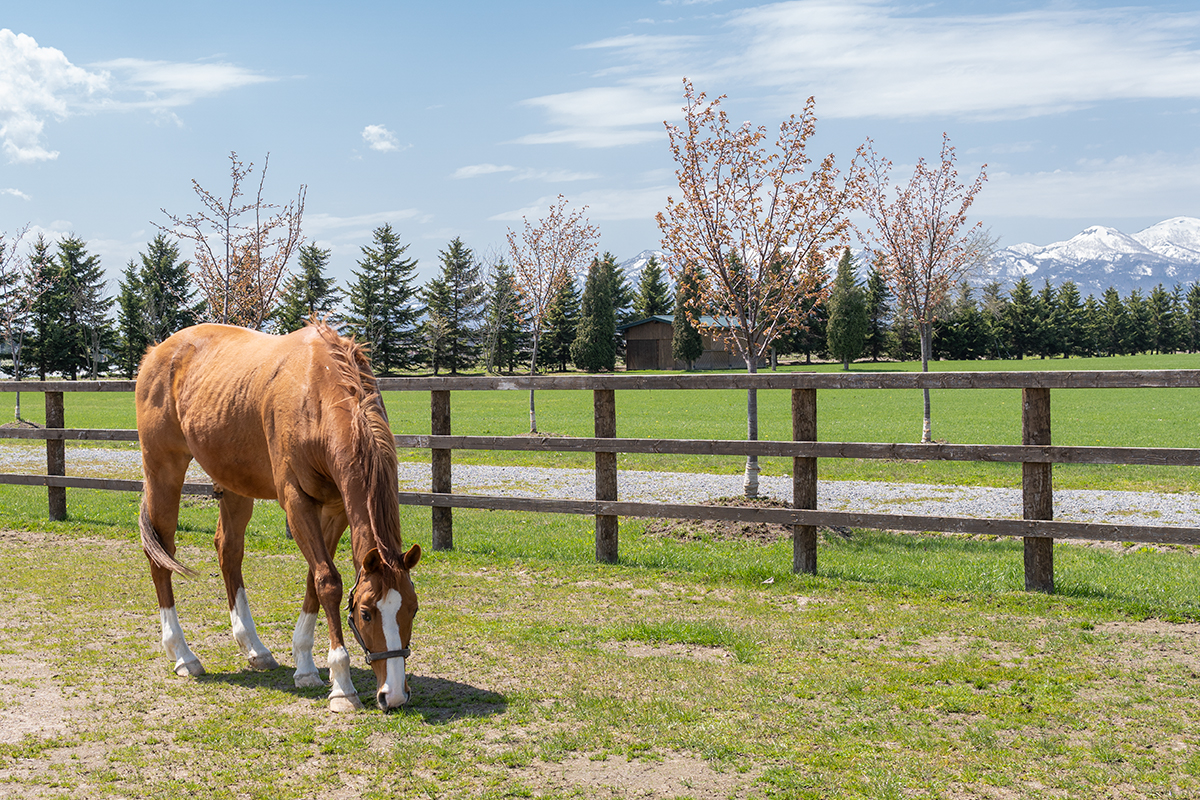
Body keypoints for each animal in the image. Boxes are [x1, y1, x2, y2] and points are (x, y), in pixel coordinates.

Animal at [132, 321, 417, 714]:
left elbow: (315, 580)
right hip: (164, 472)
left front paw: (306, 666)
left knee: (228, 552)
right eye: (365, 613)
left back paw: (254, 648)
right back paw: (183, 655)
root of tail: (157, 352)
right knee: (161, 557)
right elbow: (328, 581)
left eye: (413, 610)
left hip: (234, 483)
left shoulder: (336, 508)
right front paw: (341, 685)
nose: (395, 694)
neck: (318, 392)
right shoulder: (297, 501)